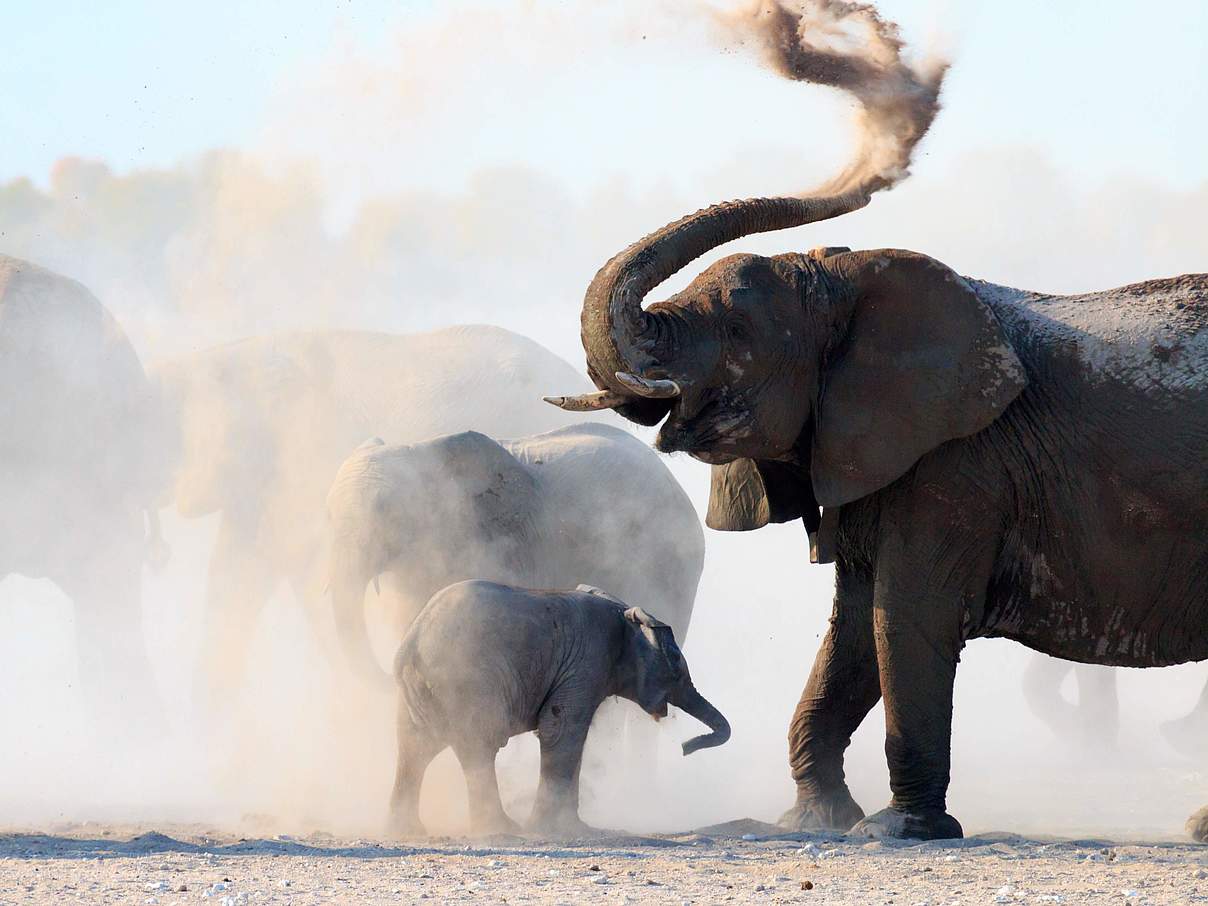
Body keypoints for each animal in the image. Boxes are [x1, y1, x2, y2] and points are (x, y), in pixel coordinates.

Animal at [388, 582, 724, 835]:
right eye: (676, 666)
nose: (685, 748)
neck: (624, 614)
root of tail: (411, 643)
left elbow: (572, 736)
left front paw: (575, 828)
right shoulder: (586, 663)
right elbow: (561, 730)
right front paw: (551, 829)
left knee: (415, 749)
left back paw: (408, 830)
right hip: (466, 681)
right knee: (478, 747)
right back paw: (503, 829)